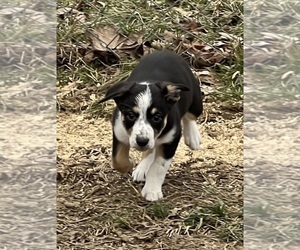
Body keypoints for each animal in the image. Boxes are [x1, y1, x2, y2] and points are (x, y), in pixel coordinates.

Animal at [99, 50, 203, 201]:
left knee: (190, 117)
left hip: (196, 103)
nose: (141, 141)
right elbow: (118, 160)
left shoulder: (171, 139)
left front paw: (152, 190)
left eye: (157, 117)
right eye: (131, 115)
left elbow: (158, 166)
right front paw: (130, 164)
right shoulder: (118, 132)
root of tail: (166, 51)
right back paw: (142, 167)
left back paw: (193, 137)